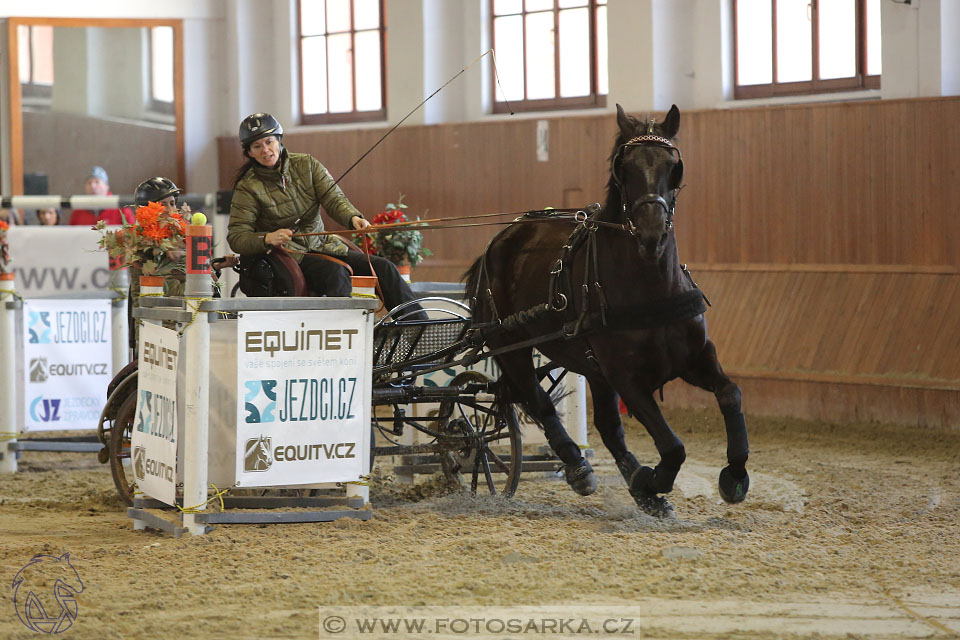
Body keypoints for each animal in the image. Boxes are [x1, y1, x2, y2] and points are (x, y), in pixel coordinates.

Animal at [464, 104, 752, 516]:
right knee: (537, 400)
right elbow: (672, 446)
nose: (651, 233)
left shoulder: (696, 358)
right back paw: (580, 467)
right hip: (511, 346)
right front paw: (652, 479)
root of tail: (500, 239)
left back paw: (636, 482)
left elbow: (731, 394)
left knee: (604, 424)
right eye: (624, 167)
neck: (650, 288)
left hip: (591, 366)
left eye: (674, 166)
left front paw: (734, 475)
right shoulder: (626, 377)